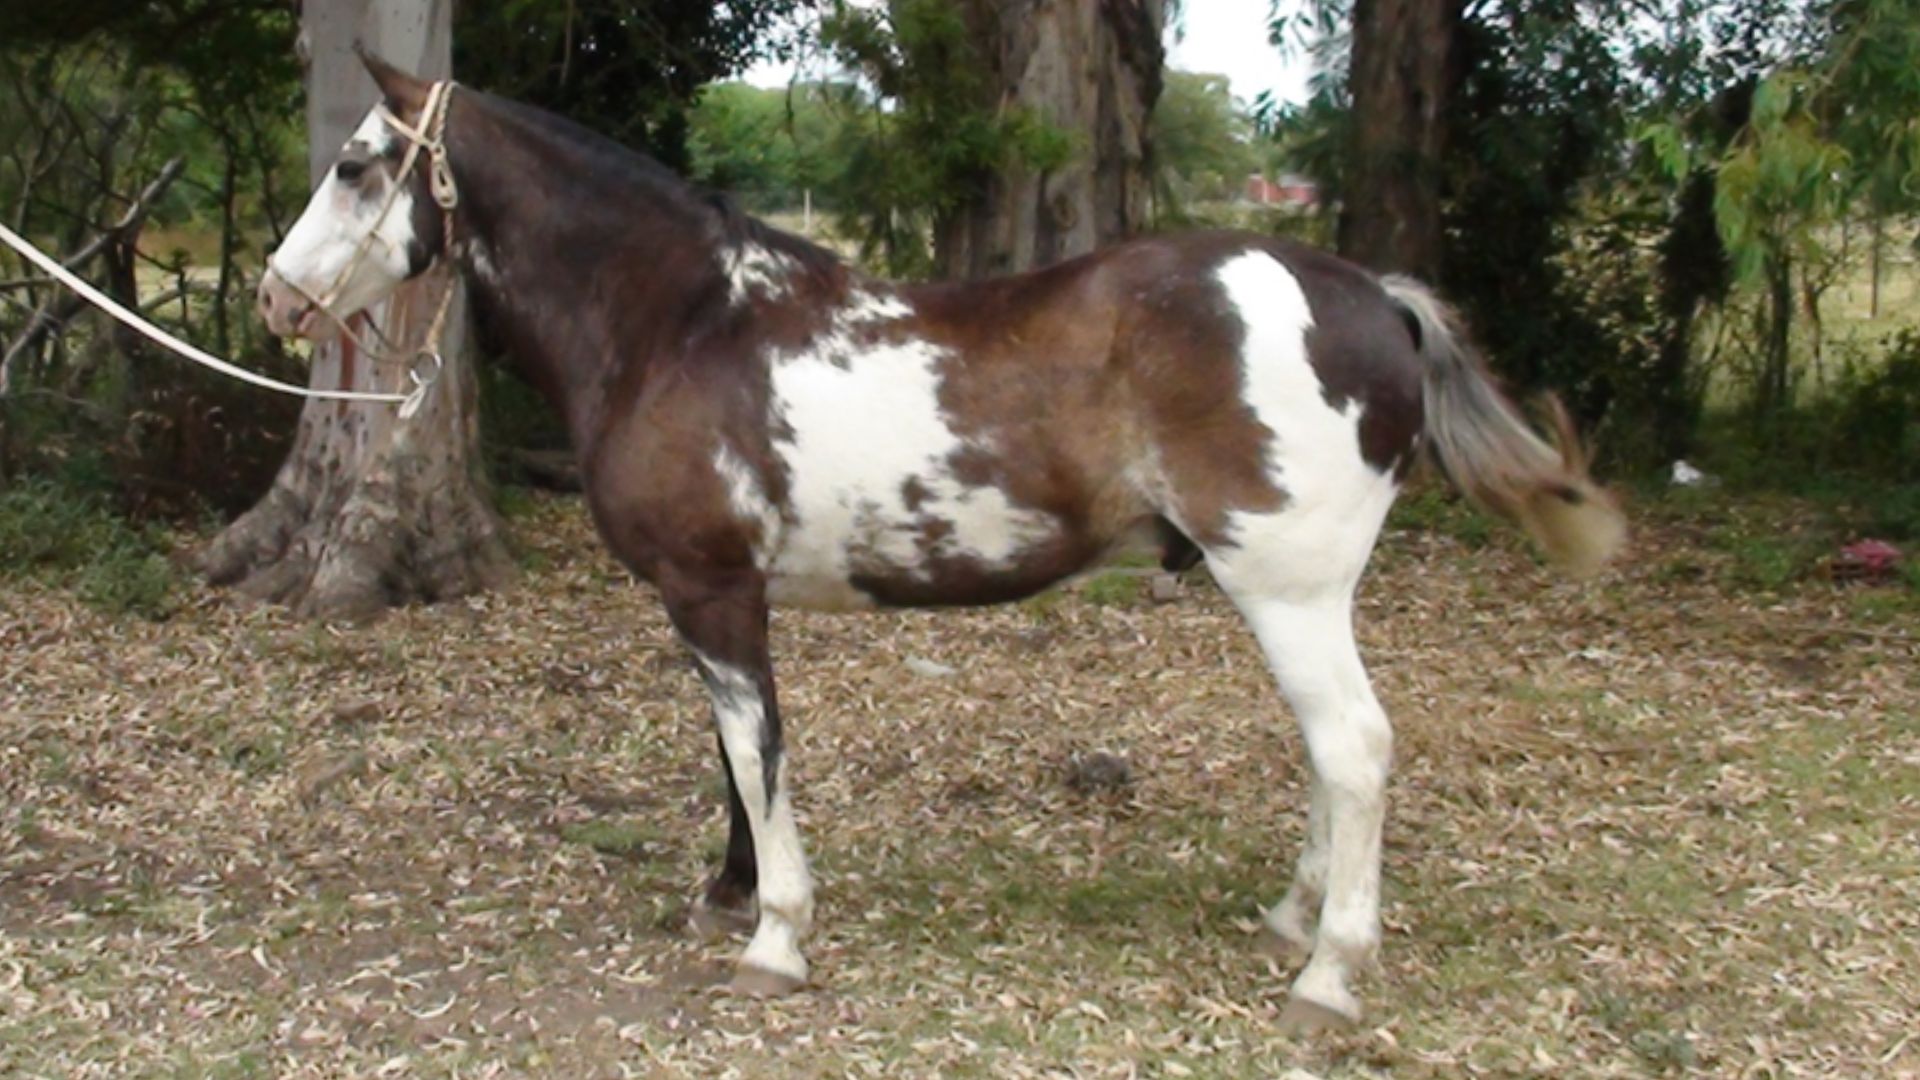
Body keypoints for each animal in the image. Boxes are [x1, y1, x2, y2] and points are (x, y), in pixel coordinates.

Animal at [256, 50, 1624, 1030]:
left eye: (359, 165)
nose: (277, 297)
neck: (682, 324)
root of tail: (1373, 299)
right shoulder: (718, 598)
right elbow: (733, 757)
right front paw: (728, 895)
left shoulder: (711, 594)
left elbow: (758, 755)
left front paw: (777, 936)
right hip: (1297, 600)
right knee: (1329, 756)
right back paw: (1294, 921)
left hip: (1289, 592)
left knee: (1355, 751)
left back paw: (1328, 976)